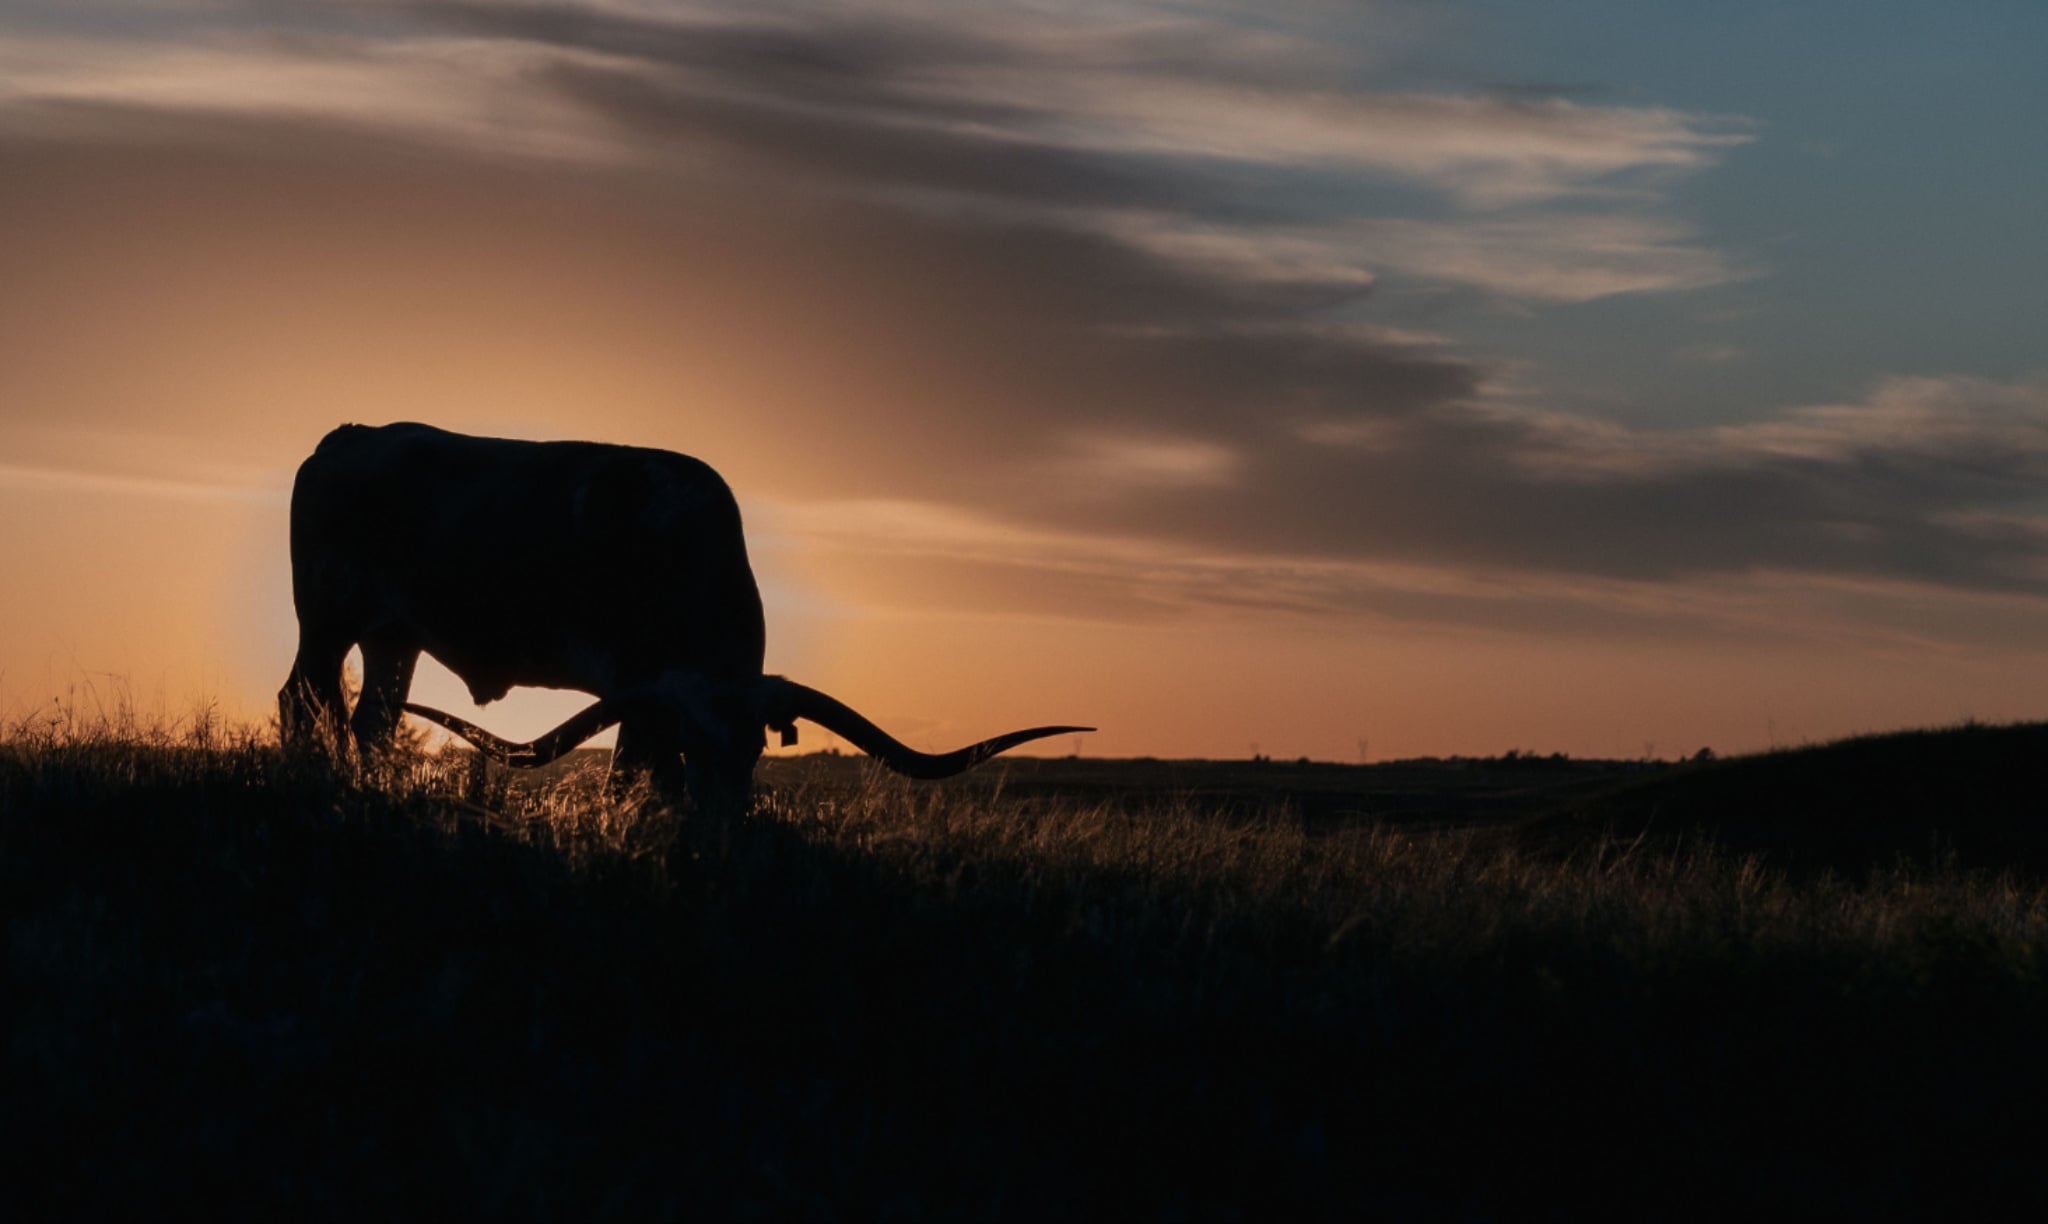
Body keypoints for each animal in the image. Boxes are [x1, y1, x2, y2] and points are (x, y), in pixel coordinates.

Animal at [278, 422, 1089, 813]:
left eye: (755, 750)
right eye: (694, 744)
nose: (722, 825)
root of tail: (346, 437)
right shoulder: (637, 692)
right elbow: (634, 772)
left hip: (394, 637)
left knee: (373, 721)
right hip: (326, 623)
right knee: (304, 702)